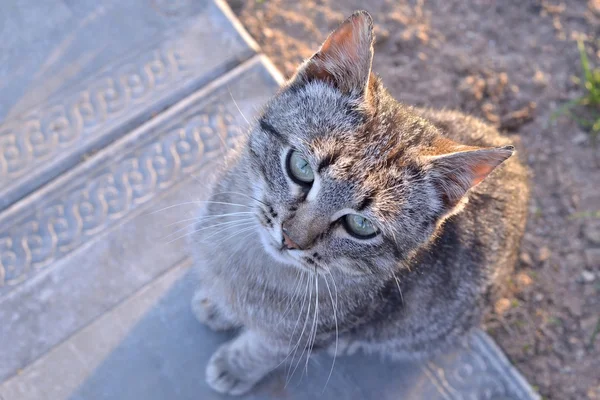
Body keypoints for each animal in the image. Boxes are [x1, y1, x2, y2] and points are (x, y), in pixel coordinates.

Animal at [189, 10, 528, 396]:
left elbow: (265, 348)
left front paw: (236, 366)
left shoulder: (309, 335)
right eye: (300, 167)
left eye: (361, 225)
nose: (290, 239)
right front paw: (219, 305)